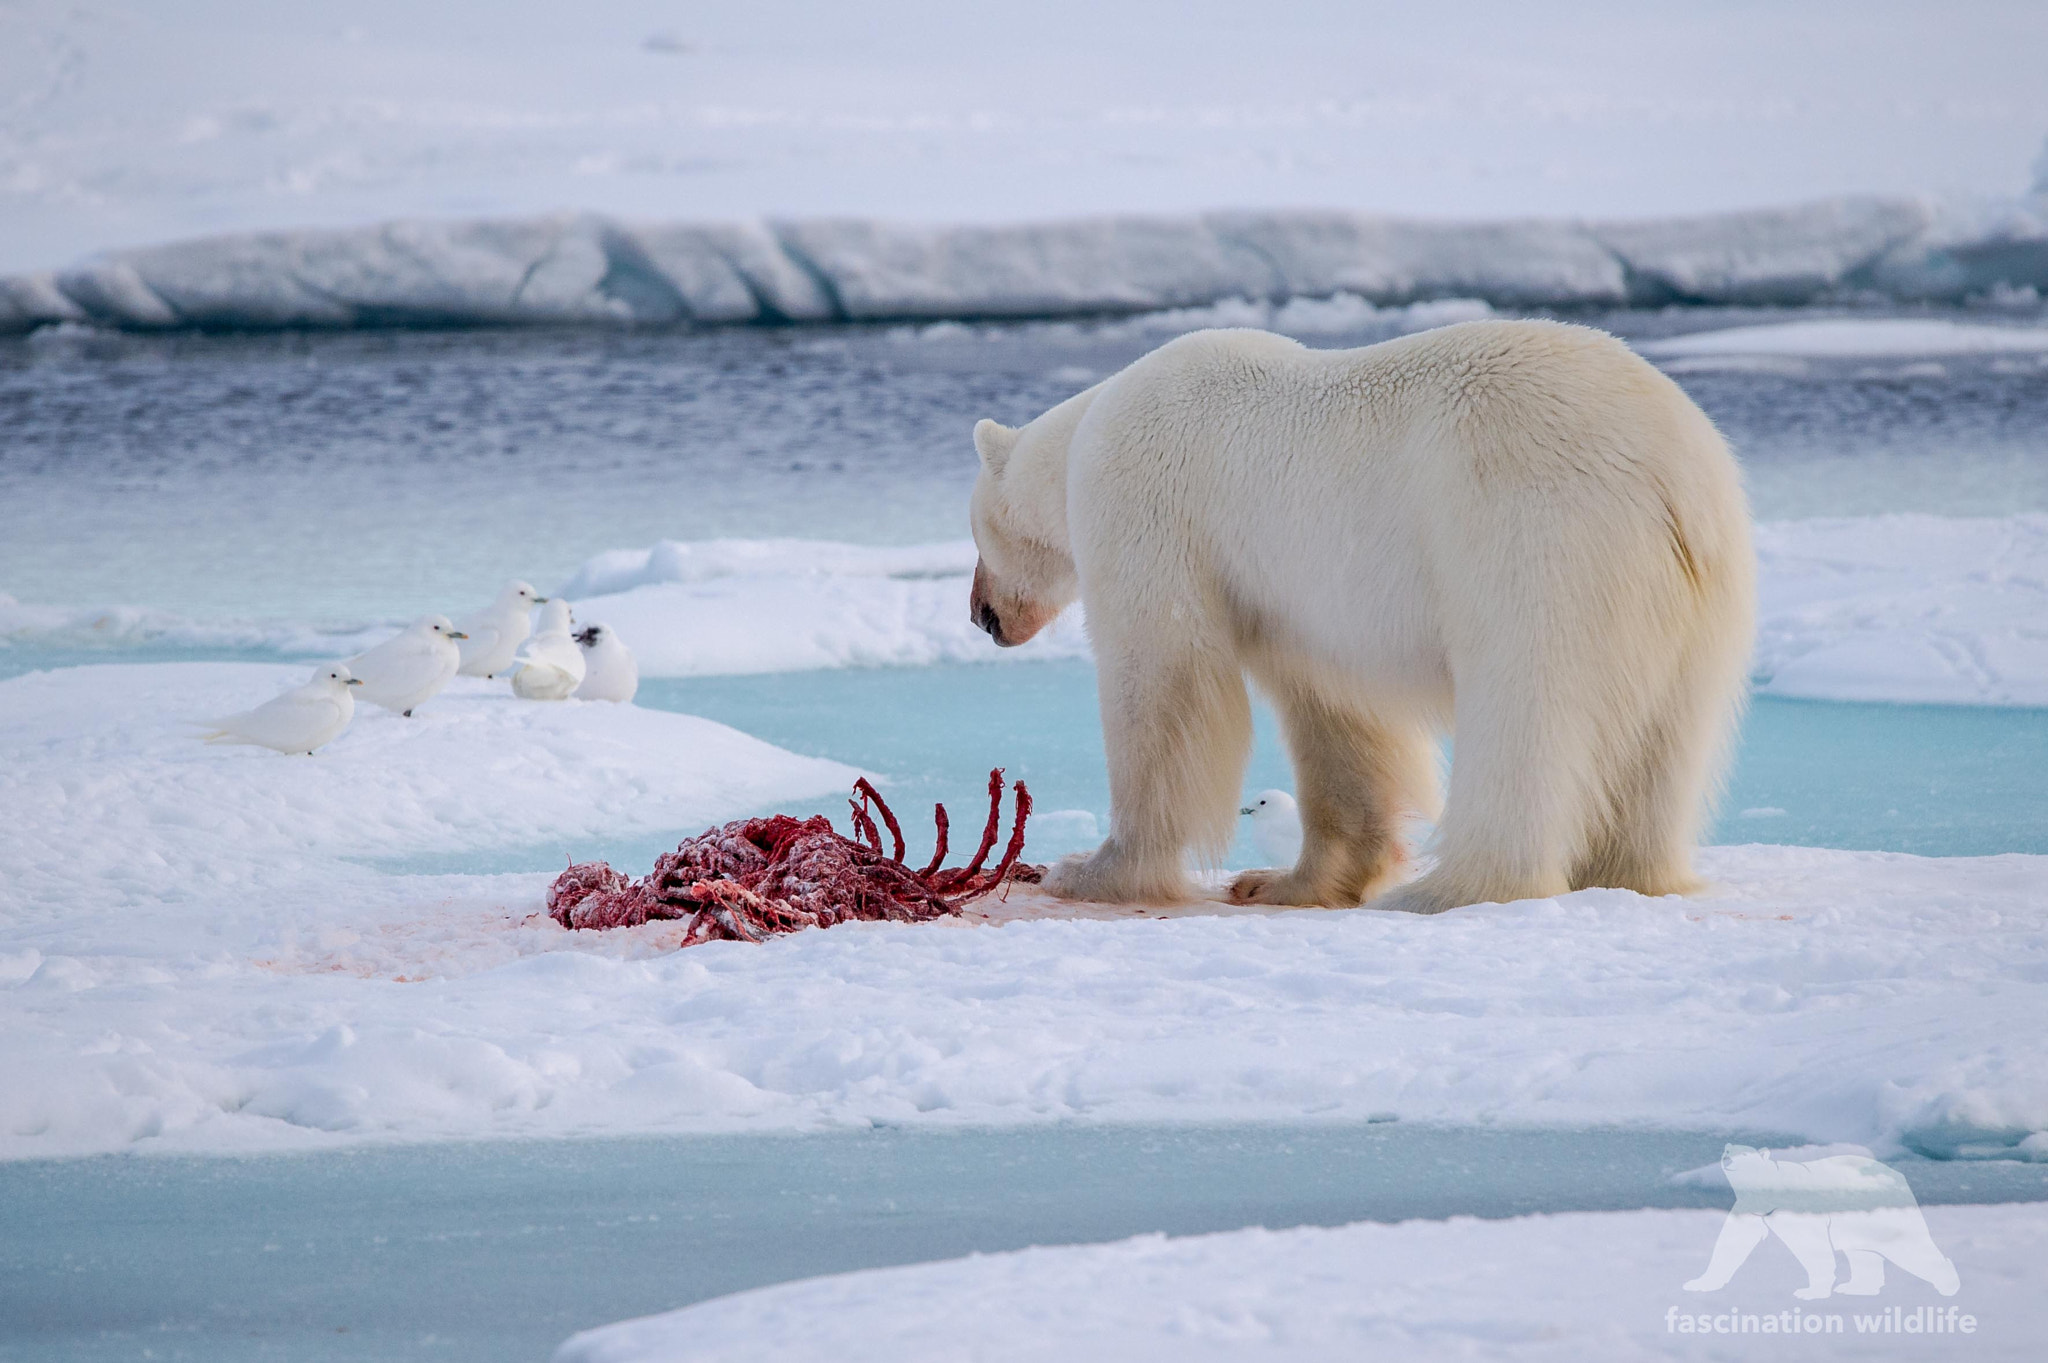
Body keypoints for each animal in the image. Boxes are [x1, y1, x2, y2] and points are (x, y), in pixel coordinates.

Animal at [966, 320, 1755, 913]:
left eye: (974, 530)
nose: (981, 616)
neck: (1084, 433)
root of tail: (1673, 478)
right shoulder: (1306, 607)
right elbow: (1338, 715)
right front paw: (1283, 882)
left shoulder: (1146, 502)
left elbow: (1164, 679)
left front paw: (1089, 869)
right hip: (1702, 596)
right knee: (1664, 741)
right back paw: (1628, 872)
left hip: (1535, 536)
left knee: (1526, 711)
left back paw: (1450, 889)